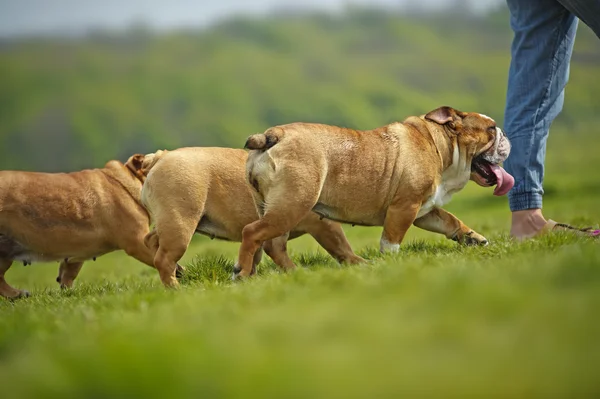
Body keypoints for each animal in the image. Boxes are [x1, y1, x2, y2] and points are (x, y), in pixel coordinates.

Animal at [138, 147, 364, 288]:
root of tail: (160, 158)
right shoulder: (321, 224)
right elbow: (340, 244)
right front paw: (357, 262)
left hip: (171, 222)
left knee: (151, 241)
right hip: (180, 224)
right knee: (164, 259)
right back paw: (176, 288)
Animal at [237, 106, 512, 278]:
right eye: (491, 129)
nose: (505, 134)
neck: (440, 145)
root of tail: (274, 135)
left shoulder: (424, 210)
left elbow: (450, 220)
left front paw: (473, 237)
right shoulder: (404, 207)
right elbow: (391, 240)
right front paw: (391, 263)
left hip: (277, 207)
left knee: (273, 245)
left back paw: (293, 273)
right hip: (293, 204)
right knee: (252, 232)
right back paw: (242, 273)